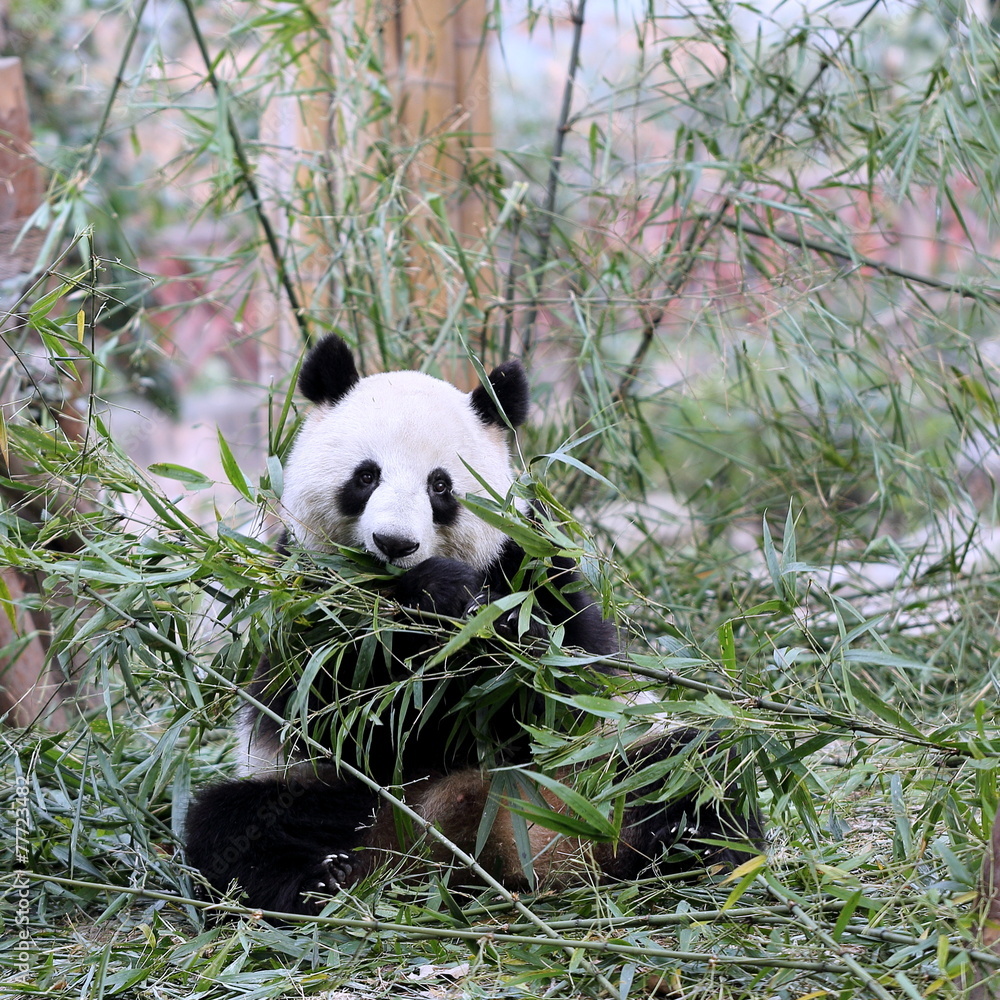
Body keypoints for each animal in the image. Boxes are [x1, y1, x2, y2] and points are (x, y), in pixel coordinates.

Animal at [185, 334, 762, 915]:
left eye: (440, 486)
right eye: (366, 476)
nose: (395, 544)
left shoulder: (533, 562)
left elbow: (561, 685)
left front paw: (482, 622)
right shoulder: (303, 593)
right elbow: (328, 708)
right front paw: (439, 594)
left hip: (597, 764)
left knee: (690, 766)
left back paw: (698, 849)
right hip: (331, 790)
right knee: (233, 822)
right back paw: (319, 879)